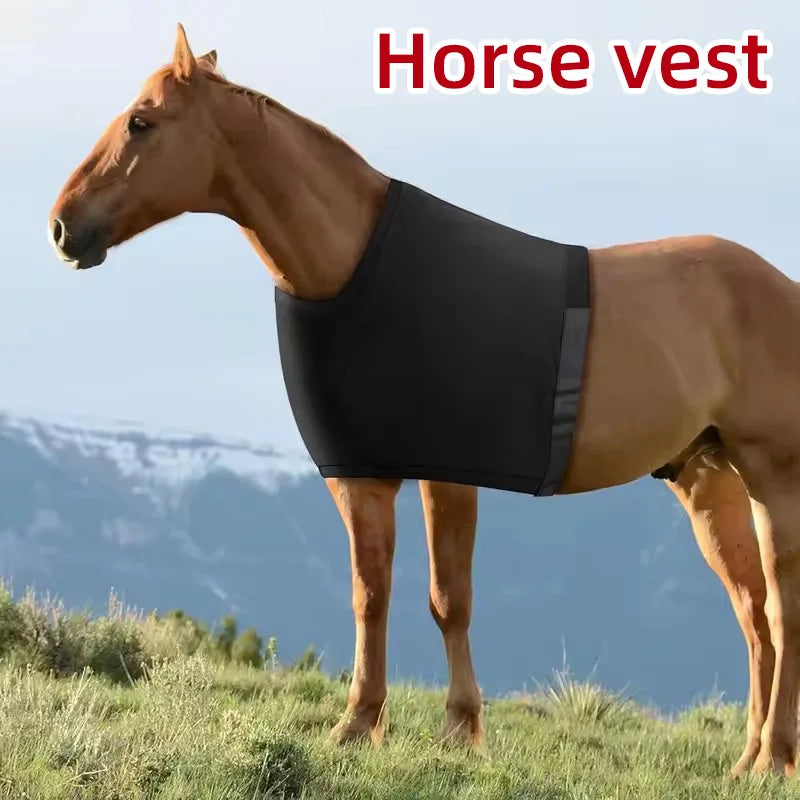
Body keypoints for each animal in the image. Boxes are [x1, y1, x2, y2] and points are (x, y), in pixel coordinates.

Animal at [47, 24, 799, 777]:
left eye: (142, 121)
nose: (62, 227)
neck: (355, 267)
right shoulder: (360, 476)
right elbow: (370, 594)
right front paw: (359, 723)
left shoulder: (449, 473)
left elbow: (449, 600)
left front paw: (460, 728)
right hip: (709, 482)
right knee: (754, 615)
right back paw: (747, 760)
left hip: (771, 476)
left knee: (781, 607)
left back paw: (773, 759)